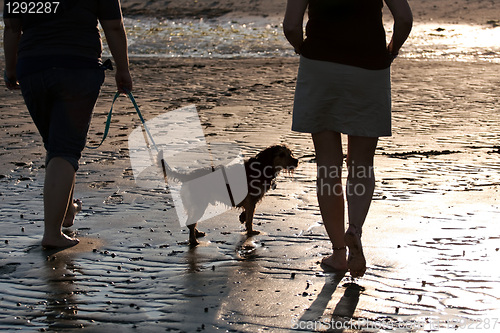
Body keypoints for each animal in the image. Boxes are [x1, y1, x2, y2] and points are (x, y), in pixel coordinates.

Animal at [160, 144, 296, 245]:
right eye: (282, 154)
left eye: (290, 153)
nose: (297, 161)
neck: (263, 166)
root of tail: (188, 176)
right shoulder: (251, 201)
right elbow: (250, 219)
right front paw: (251, 231)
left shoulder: (249, 201)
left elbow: (246, 214)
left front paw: (242, 218)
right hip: (200, 204)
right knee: (191, 222)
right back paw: (193, 241)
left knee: (191, 222)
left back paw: (196, 233)